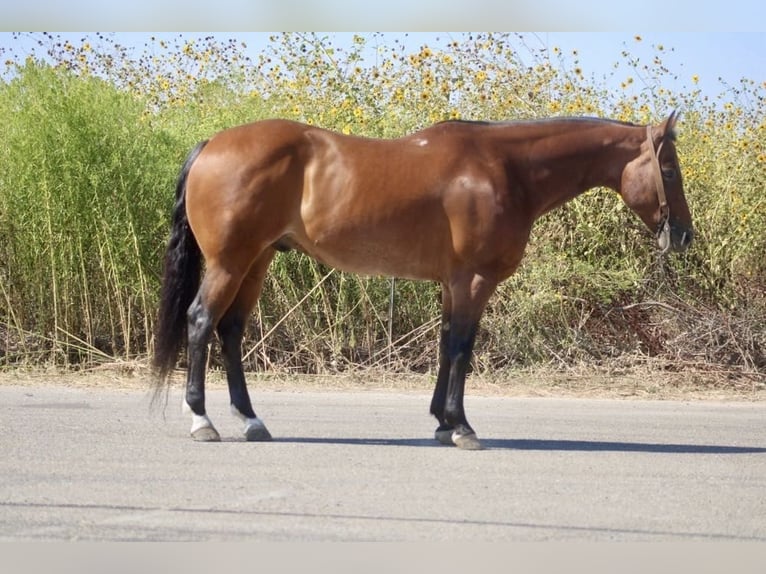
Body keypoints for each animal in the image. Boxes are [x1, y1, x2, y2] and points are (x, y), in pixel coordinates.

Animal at [151, 111, 692, 450]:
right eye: (668, 168)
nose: (684, 235)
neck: (506, 170)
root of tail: (211, 145)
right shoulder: (475, 280)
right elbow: (462, 348)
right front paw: (462, 426)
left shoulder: (453, 283)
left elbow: (445, 345)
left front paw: (441, 424)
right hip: (230, 261)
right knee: (201, 322)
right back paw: (202, 420)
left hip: (257, 260)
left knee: (230, 330)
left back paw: (250, 420)